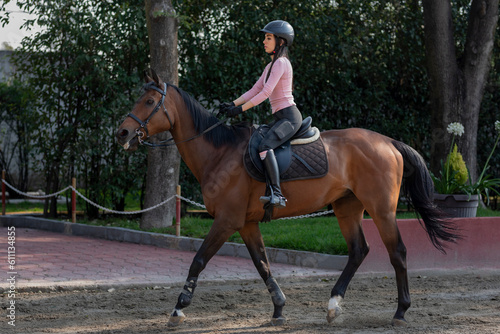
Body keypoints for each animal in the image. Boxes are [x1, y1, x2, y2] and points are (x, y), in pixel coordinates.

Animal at [115, 70, 458, 328]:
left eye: (149, 101)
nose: (123, 133)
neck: (219, 153)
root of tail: (387, 141)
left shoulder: (226, 221)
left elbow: (199, 260)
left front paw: (178, 309)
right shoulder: (246, 223)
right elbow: (263, 264)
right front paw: (279, 309)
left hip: (382, 209)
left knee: (397, 252)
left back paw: (400, 312)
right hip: (347, 208)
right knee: (359, 251)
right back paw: (333, 305)